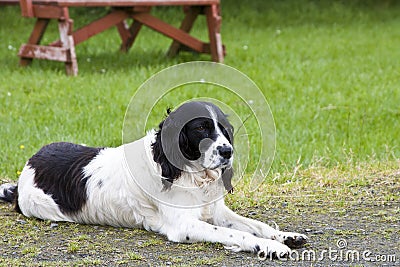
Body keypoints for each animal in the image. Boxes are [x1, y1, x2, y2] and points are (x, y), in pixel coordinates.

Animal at [0, 101, 306, 258]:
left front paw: (285, 236)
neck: (188, 173)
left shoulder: (216, 211)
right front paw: (271, 247)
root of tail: (28, 165)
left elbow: (255, 225)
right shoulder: (184, 225)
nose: (227, 151)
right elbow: (237, 233)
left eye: (224, 129)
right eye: (201, 128)